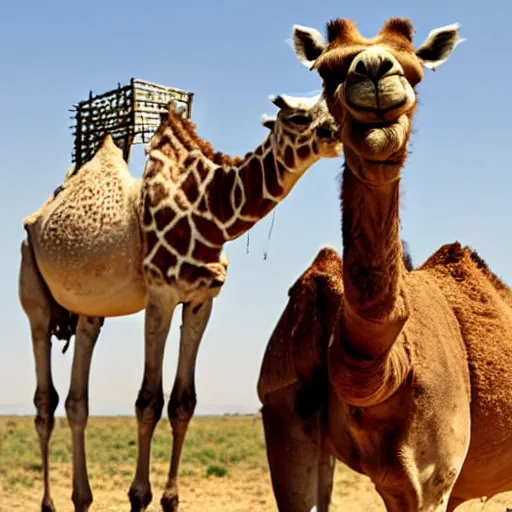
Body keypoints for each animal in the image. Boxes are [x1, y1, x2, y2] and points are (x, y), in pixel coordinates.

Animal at [18, 91, 342, 512]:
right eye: (298, 117)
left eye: (332, 108)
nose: (334, 133)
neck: (213, 213)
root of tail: (38, 216)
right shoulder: (161, 294)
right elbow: (148, 402)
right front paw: (139, 496)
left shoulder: (202, 298)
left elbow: (183, 403)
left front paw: (170, 499)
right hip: (33, 286)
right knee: (44, 400)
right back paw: (49, 504)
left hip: (90, 309)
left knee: (77, 400)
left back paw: (82, 498)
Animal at [256, 16, 512, 512]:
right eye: (327, 69)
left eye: (415, 69)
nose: (374, 69)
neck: (386, 365)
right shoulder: (283, 413)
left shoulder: (429, 477)